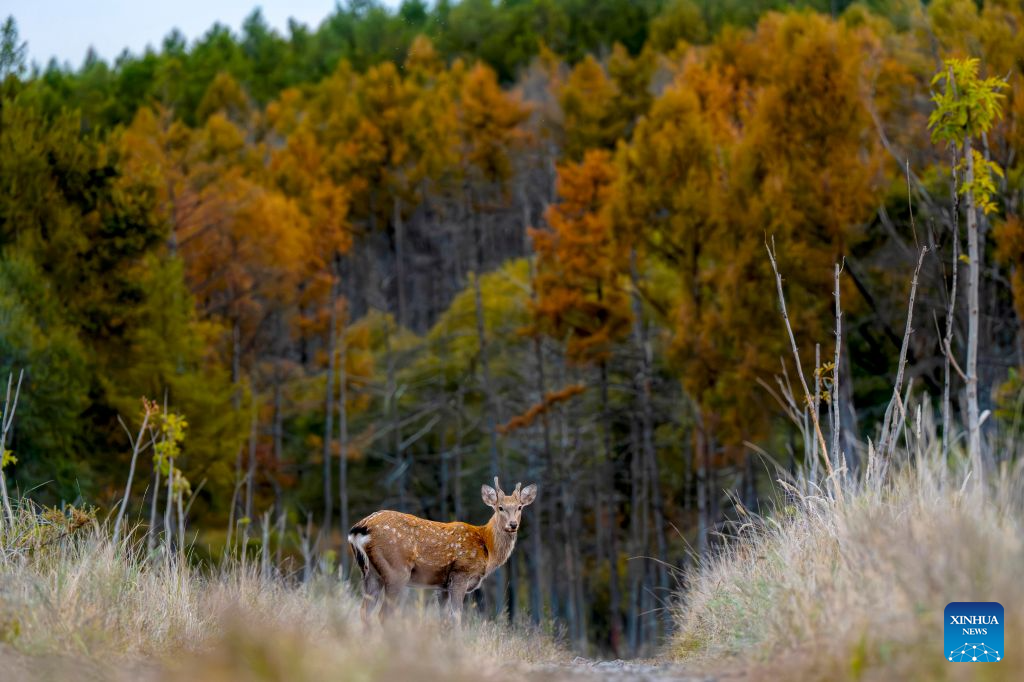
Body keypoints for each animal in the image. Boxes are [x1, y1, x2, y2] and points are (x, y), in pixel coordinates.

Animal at [348, 477, 537, 626]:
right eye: (500, 507)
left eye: (520, 507)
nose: (513, 524)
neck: (487, 548)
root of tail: (360, 528)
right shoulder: (460, 574)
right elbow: (456, 617)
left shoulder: (442, 586)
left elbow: (443, 619)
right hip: (396, 570)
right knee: (383, 615)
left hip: (370, 573)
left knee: (364, 611)